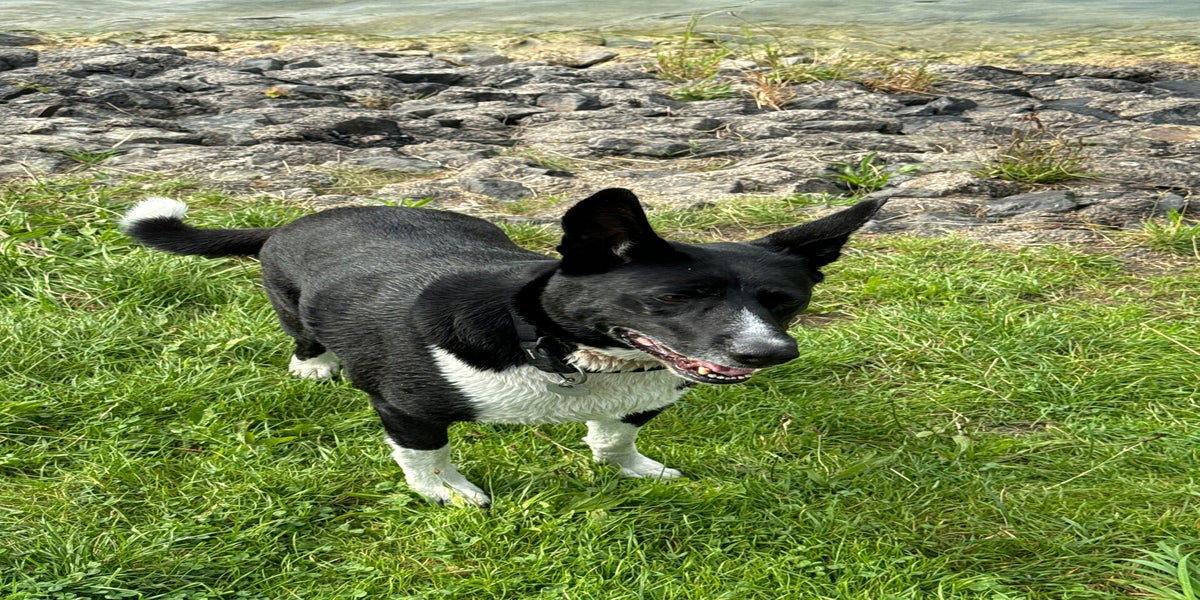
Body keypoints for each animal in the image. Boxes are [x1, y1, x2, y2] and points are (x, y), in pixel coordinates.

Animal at [122, 188, 883, 506]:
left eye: (783, 301)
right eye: (674, 298)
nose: (771, 353)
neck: (554, 347)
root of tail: (292, 221)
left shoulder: (640, 399)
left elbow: (615, 439)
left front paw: (633, 469)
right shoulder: (407, 409)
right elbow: (426, 459)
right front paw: (449, 495)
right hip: (292, 304)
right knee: (305, 336)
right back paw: (313, 366)